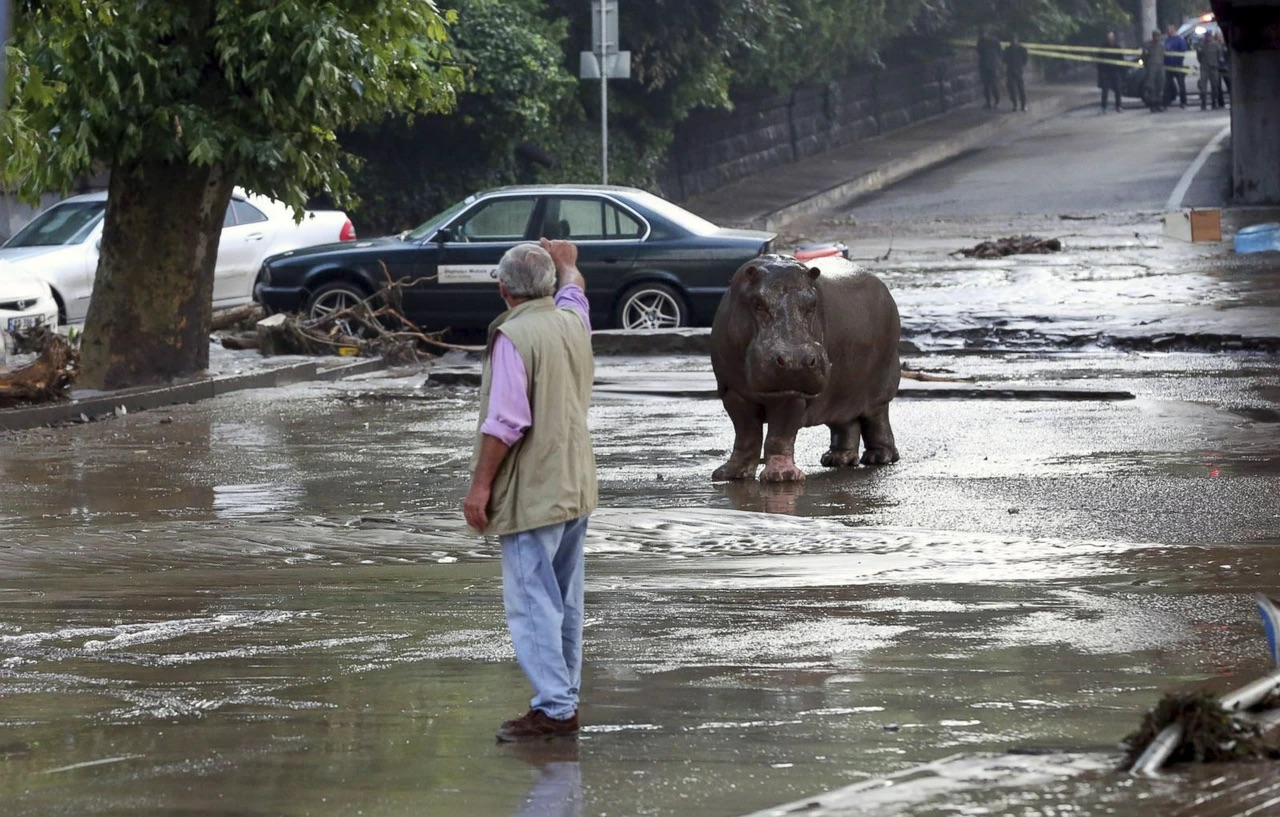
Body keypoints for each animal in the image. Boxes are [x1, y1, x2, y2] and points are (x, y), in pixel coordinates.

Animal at [710, 254, 900, 482]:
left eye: (813, 304)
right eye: (757, 303)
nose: (795, 360)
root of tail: (881, 285)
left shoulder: (792, 394)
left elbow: (779, 436)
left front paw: (782, 476)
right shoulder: (732, 392)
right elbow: (746, 435)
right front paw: (730, 474)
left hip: (879, 389)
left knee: (877, 420)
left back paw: (878, 458)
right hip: (840, 393)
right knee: (846, 422)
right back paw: (836, 459)